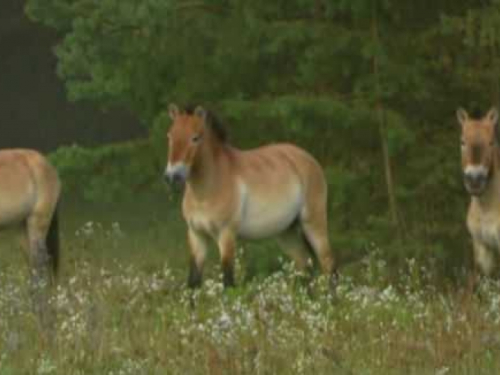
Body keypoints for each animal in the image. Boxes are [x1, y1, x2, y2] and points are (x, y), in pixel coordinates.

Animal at [164, 104, 336, 290]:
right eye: (170, 136)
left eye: (195, 138)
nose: (172, 176)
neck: (206, 192)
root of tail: (307, 158)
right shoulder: (197, 236)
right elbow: (193, 283)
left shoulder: (226, 235)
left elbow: (228, 282)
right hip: (286, 231)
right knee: (305, 266)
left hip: (314, 223)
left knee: (329, 266)